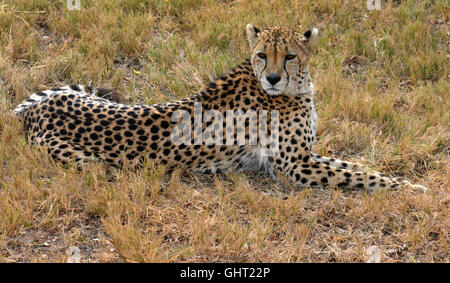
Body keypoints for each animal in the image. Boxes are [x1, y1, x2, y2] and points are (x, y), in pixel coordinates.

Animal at [12, 25, 428, 193]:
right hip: (88, 162)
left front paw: (408, 183)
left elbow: (357, 167)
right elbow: (361, 175)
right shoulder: (296, 165)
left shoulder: (304, 156)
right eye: (262, 54)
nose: (273, 77)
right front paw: (413, 188)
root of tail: (36, 109)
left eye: (290, 55)